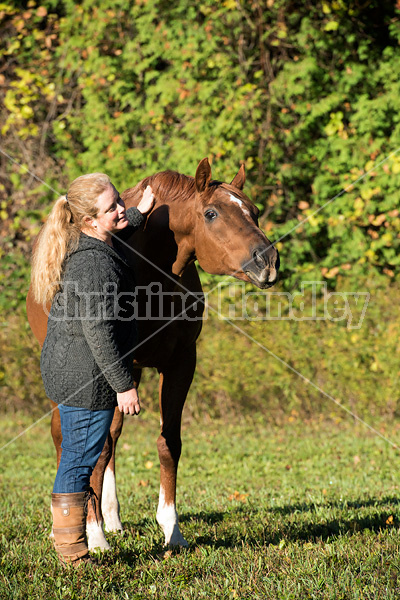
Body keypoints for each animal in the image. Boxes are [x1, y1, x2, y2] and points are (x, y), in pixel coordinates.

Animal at [27, 158, 278, 548]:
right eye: (211, 213)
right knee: (67, 437)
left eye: (253, 212)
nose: (267, 261)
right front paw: (94, 536)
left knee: (112, 437)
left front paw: (171, 529)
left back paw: (112, 518)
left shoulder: (179, 363)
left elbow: (167, 443)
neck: (148, 270)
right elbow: (94, 449)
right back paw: (77, 521)